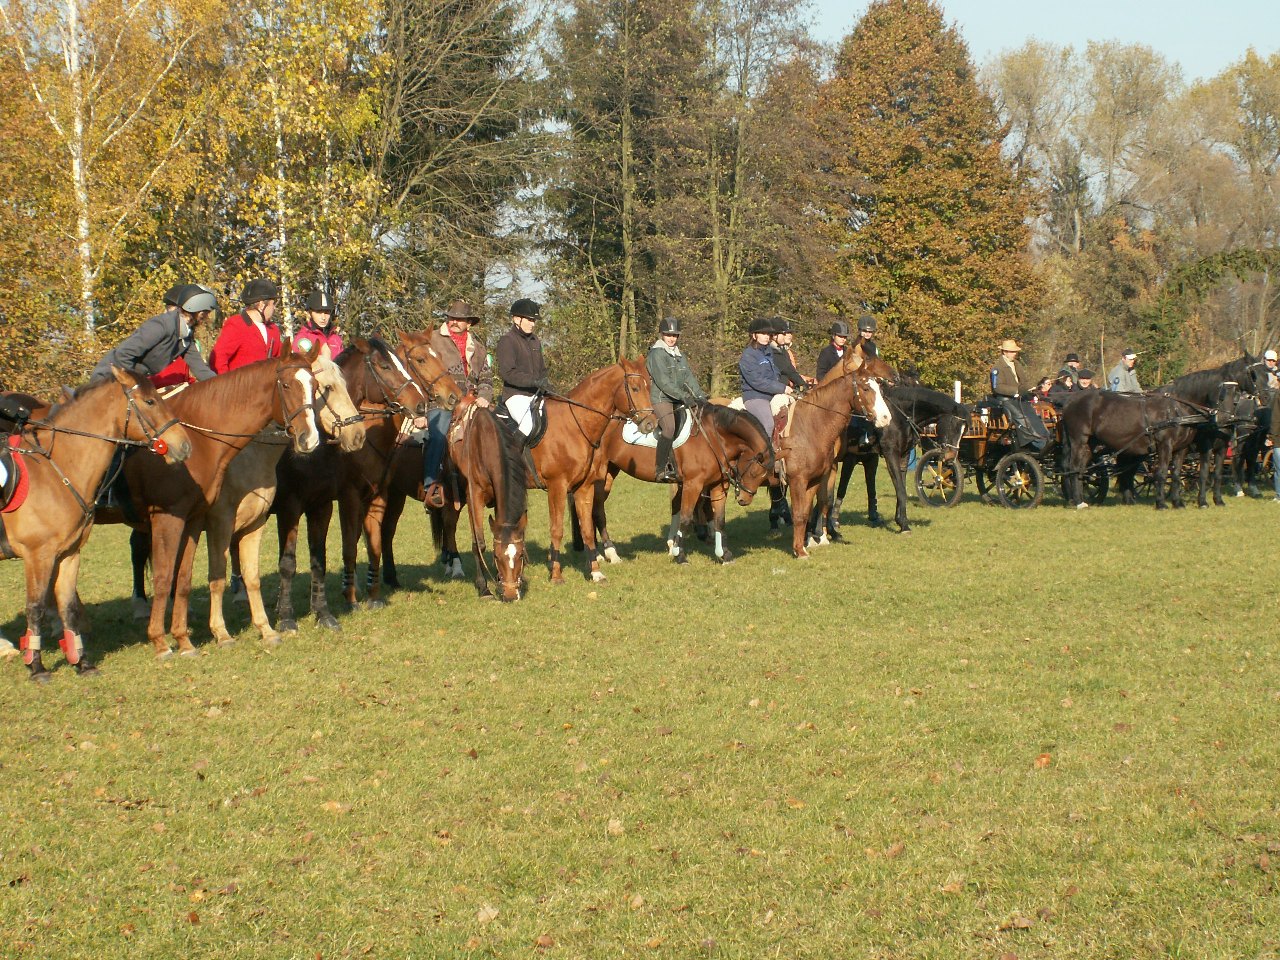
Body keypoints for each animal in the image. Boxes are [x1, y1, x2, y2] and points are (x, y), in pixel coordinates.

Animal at [1, 371, 192, 686]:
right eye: (150, 401)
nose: (184, 445)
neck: (56, 470)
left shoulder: (68, 554)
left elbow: (67, 606)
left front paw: (82, 662)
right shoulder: (38, 556)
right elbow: (36, 607)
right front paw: (37, 667)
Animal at [272, 337, 463, 632]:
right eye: (419, 360)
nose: (453, 396)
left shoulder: (378, 495)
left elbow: (373, 543)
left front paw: (373, 596)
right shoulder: (345, 498)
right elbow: (349, 547)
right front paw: (350, 599)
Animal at [819, 384, 967, 537]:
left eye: (964, 430)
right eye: (953, 426)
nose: (950, 457)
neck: (899, 417)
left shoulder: (901, 456)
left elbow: (899, 487)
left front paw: (900, 520)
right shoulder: (887, 455)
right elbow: (899, 489)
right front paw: (904, 526)